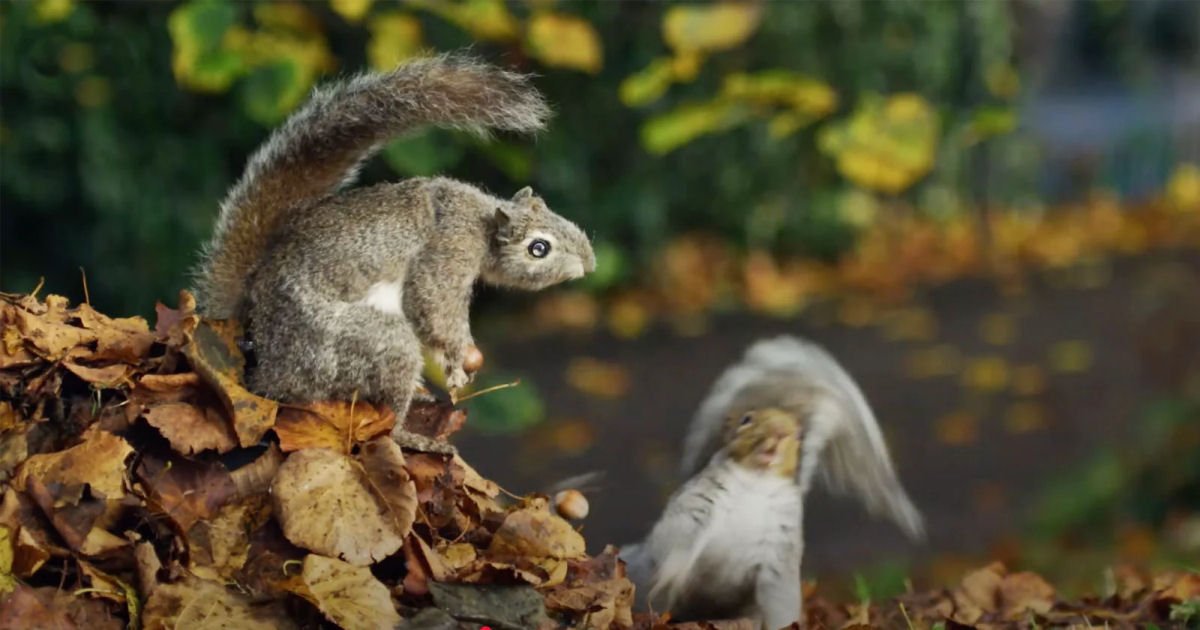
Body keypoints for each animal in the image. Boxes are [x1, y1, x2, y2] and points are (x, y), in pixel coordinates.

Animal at [190, 52, 595, 446]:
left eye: (553, 212)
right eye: (538, 248)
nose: (590, 263)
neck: (480, 218)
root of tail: (265, 363)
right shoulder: (449, 248)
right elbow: (432, 305)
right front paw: (462, 358)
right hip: (362, 345)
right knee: (388, 403)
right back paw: (412, 434)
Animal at [624, 336, 921, 624]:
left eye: (798, 434)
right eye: (746, 419)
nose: (780, 432)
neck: (757, 482)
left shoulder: (780, 543)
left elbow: (779, 596)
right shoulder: (699, 502)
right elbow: (679, 535)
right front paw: (671, 572)